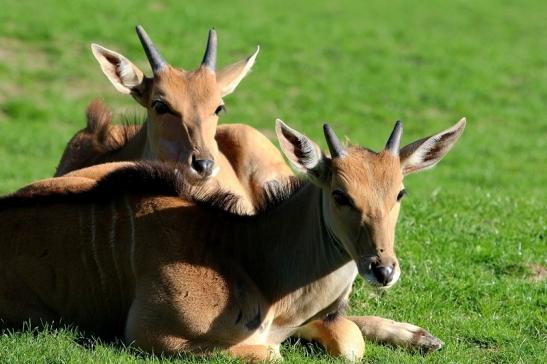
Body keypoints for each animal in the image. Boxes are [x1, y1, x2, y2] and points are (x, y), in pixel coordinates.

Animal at [2, 118, 468, 360]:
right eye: (340, 195)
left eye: (400, 193)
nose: (383, 269)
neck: (250, 259)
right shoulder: (152, 335)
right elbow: (272, 352)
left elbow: (347, 341)